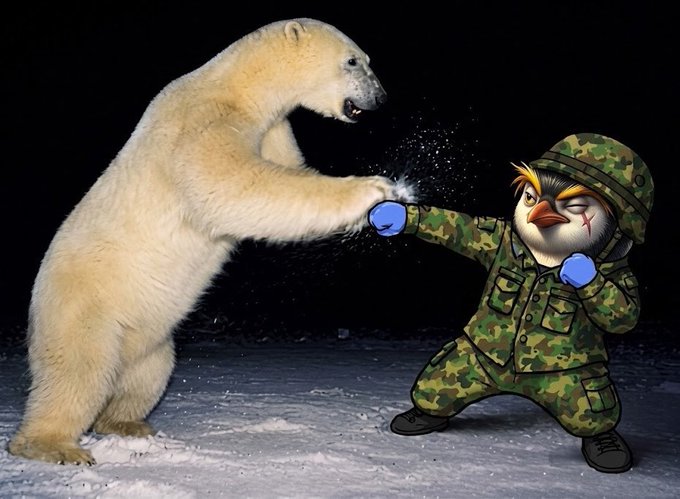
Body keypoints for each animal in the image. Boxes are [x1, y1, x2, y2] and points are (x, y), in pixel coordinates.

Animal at [9, 18, 405, 465]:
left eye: (367, 59)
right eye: (354, 60)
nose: (381, 98)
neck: (238, 88)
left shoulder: (271, 129)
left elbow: (289, 171)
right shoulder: (199, 125)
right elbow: (237, 186)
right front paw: (374, 190)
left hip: (147, 340)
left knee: (147, 376)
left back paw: (127, 423)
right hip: (84, 307)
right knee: (77, 373)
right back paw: (54, 445)